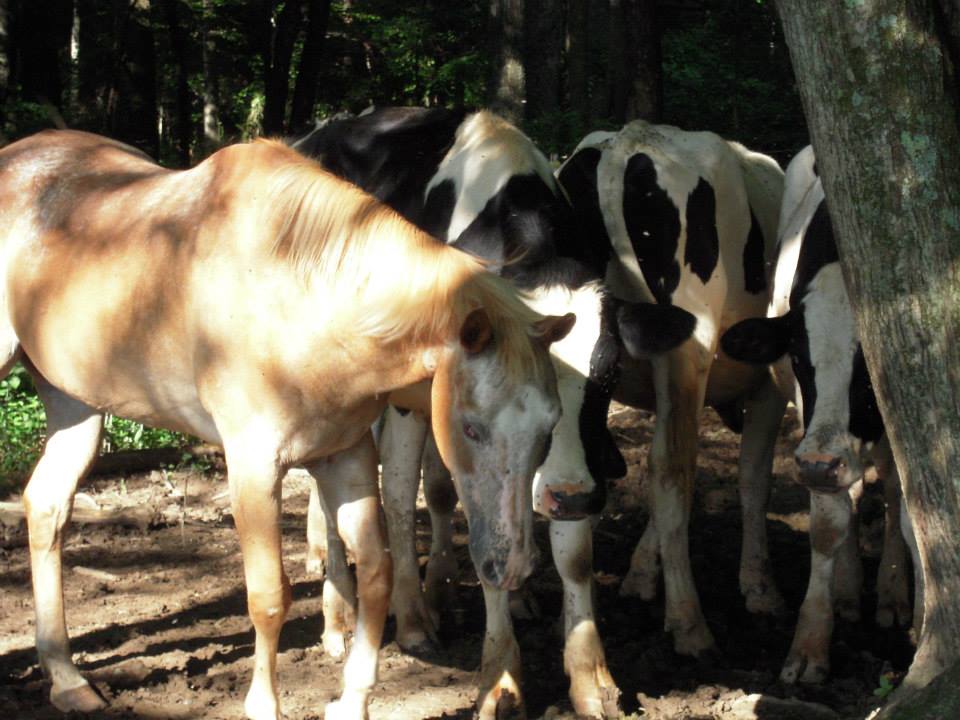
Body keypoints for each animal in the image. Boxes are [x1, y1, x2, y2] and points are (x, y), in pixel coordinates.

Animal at [0, 131, 572, 720]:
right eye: (471, 428)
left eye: (549, 430)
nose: (513, 568)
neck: (302, 299)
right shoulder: (254, 468)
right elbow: (269, 596)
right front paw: (263, 704)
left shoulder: (346, 458)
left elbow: (375, 574)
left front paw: (353, 699)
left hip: (76, 404)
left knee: (46, 506)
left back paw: (66, 678)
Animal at [288, 107, 692, 720]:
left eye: (609, 373)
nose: (571, 497)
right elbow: (428, 511)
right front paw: (499, 679)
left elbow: (570, 555)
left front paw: (590, 678)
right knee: (355, 490)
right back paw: (353, 617)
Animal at [560, 119, 792, 660]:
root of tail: (627, 142)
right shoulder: (769, 383)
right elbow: (754, 478)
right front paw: (760, 587)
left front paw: (641, 575)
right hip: (691, 342)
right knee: (672, 468)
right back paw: (689, 622)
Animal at [724, 145, 920, 680]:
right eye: (797, 358)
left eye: (872, 368)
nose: (816, 465)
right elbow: (829, 524)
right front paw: (810, 644)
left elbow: (913, 514)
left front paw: (918, 620)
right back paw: (851, 590)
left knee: (888, 489)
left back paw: (891, 594)